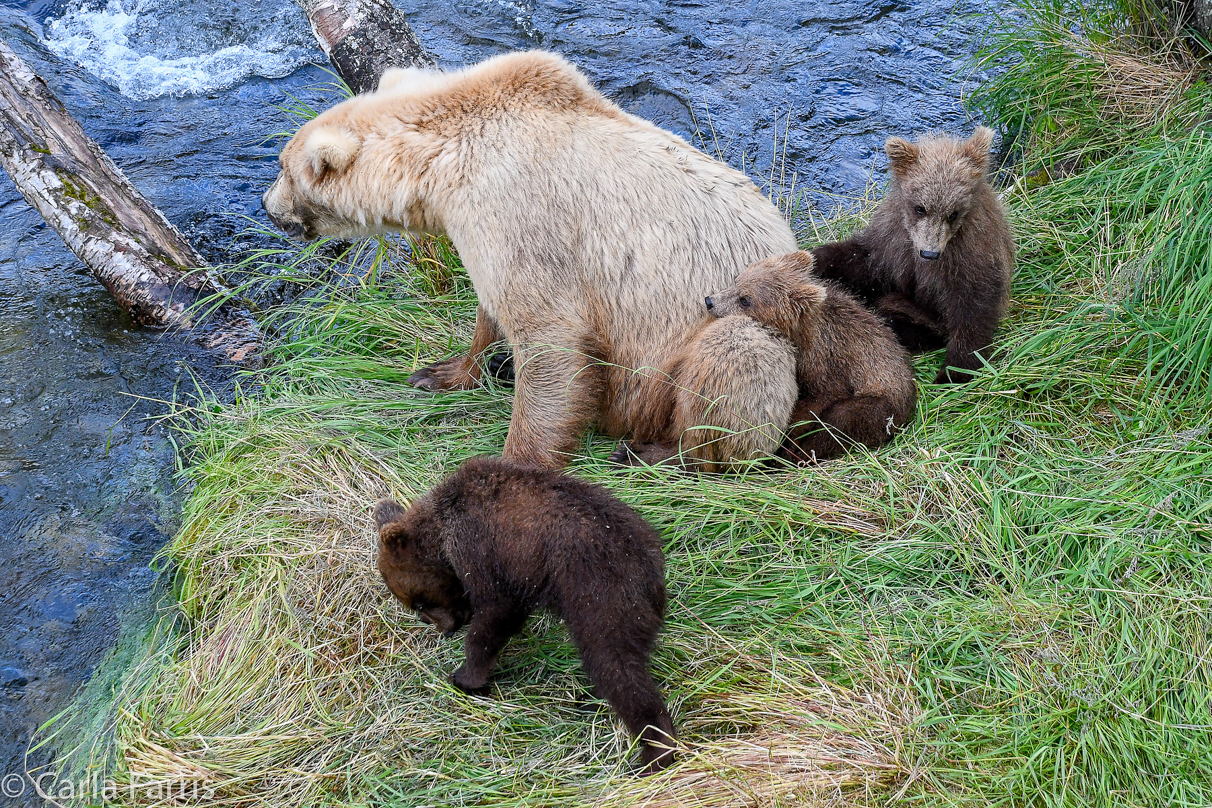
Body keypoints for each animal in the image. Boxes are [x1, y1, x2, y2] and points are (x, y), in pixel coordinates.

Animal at [260, 50, 799, 467]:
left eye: (284, 169)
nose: (268, 208)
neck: (443, 163)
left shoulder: (520, 211)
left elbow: (549, 340)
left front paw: (515, 464)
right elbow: (490, 309)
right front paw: (442, 372)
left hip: (739, 325)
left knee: (731, 360)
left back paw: (657, 452)